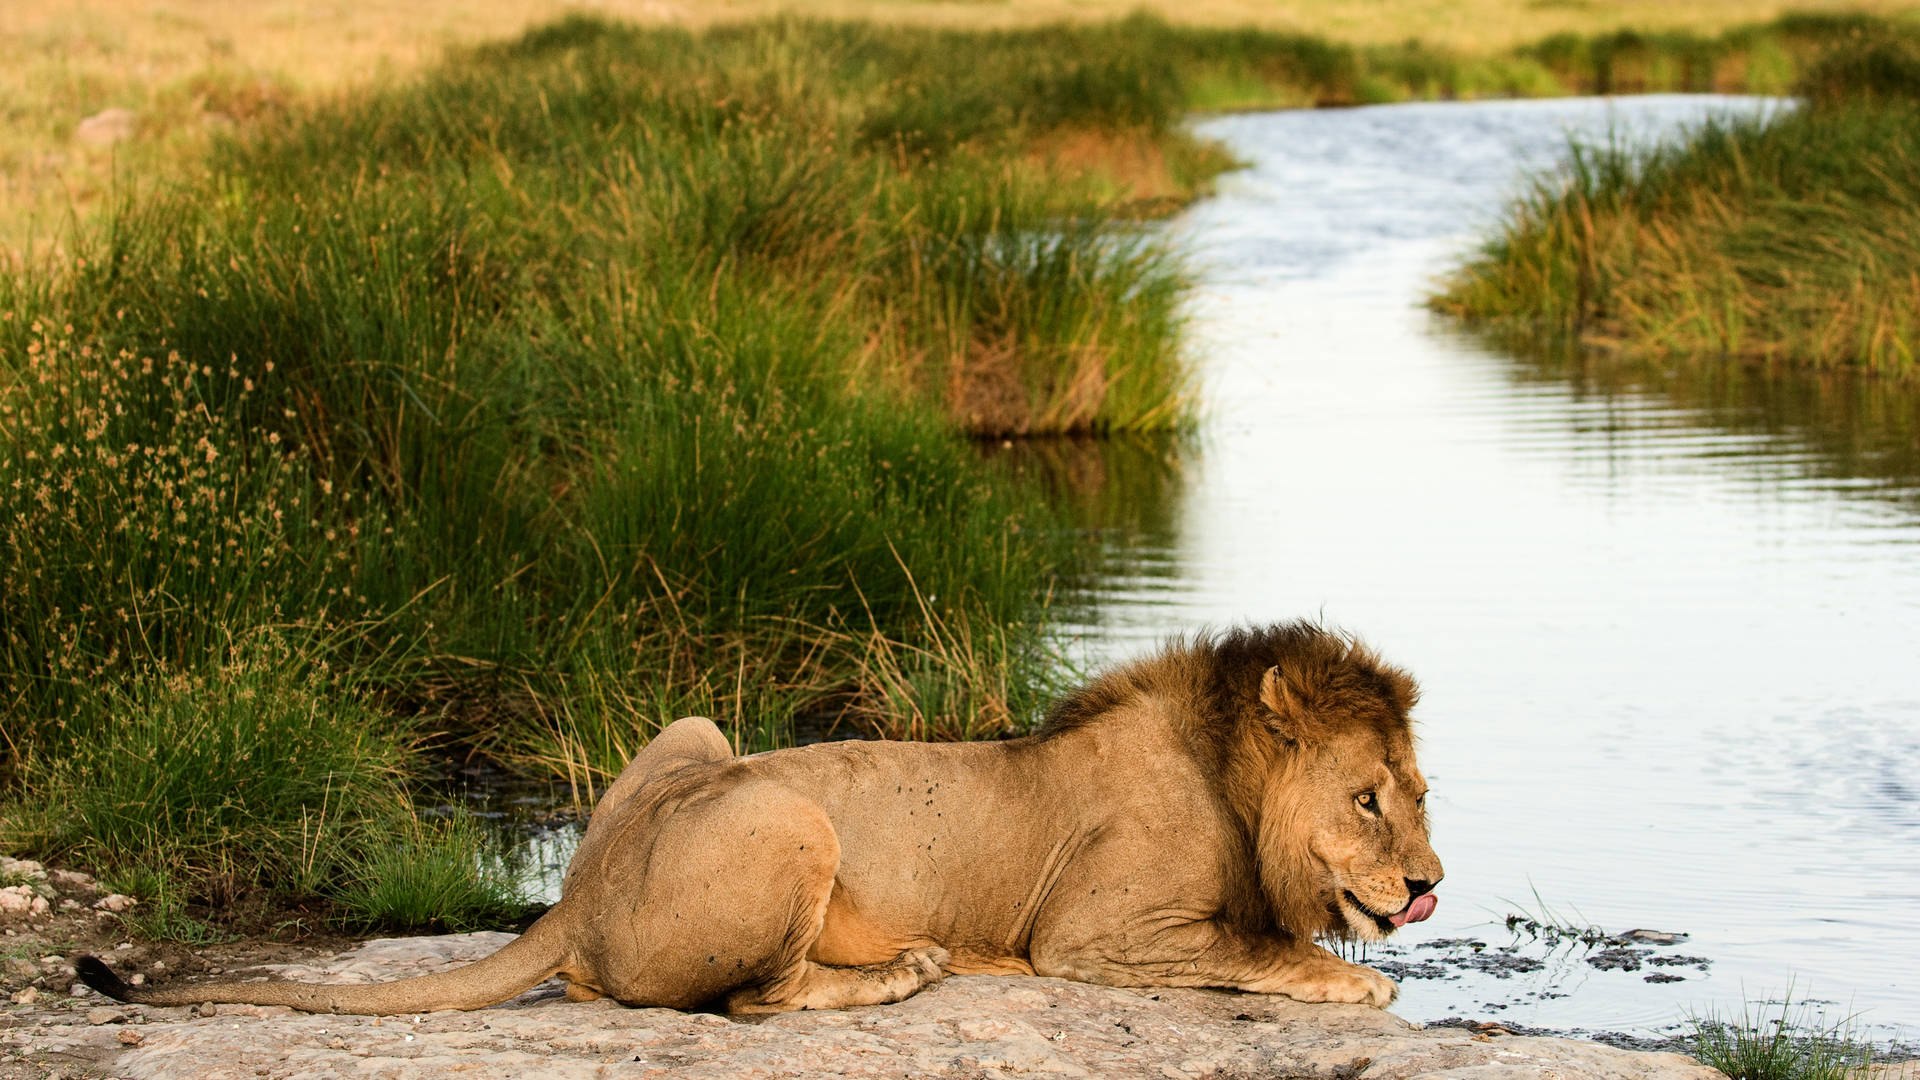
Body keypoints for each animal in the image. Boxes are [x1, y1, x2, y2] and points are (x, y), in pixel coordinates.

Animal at [86, 618, 1443, 1014]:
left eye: (1421, 795)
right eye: (1367, 799)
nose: (1429, 885)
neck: (1227, 775)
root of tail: (580, 893)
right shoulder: (1095, 934)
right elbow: (1262, 950)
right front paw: (1353, 979)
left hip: (694, 732)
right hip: (795, 821)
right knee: (756, 1002)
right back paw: (904, 972)